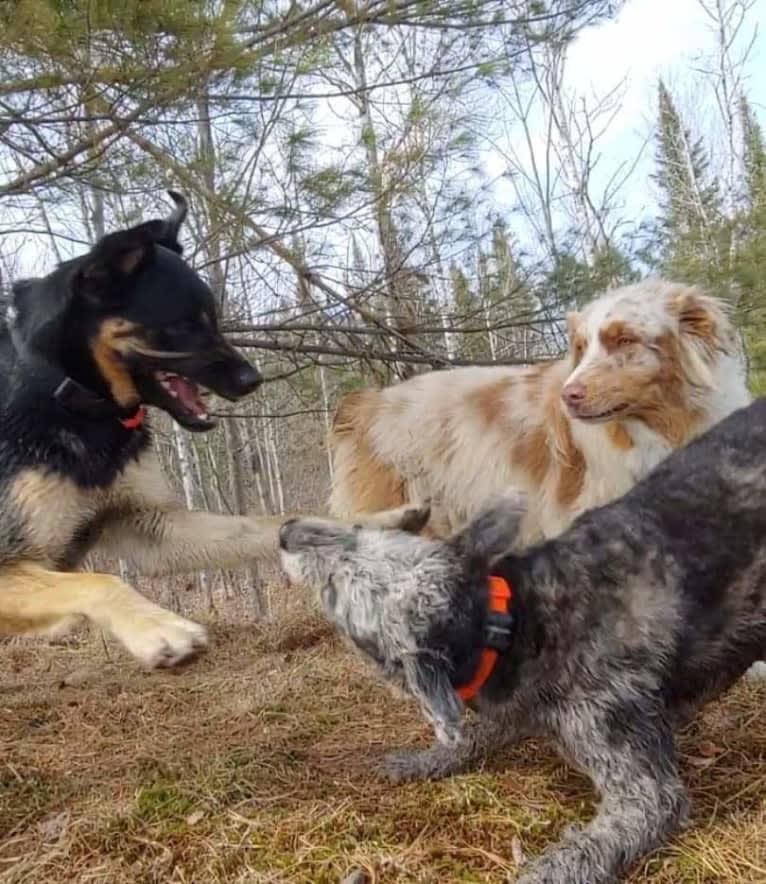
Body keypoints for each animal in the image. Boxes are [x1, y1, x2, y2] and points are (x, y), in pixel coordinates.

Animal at [0, 192, 282, 664]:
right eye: (183, 324)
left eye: (214, 317)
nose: (252, 380)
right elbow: (101, 581)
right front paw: (158, 627)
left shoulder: (147, 525)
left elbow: (261, 525)